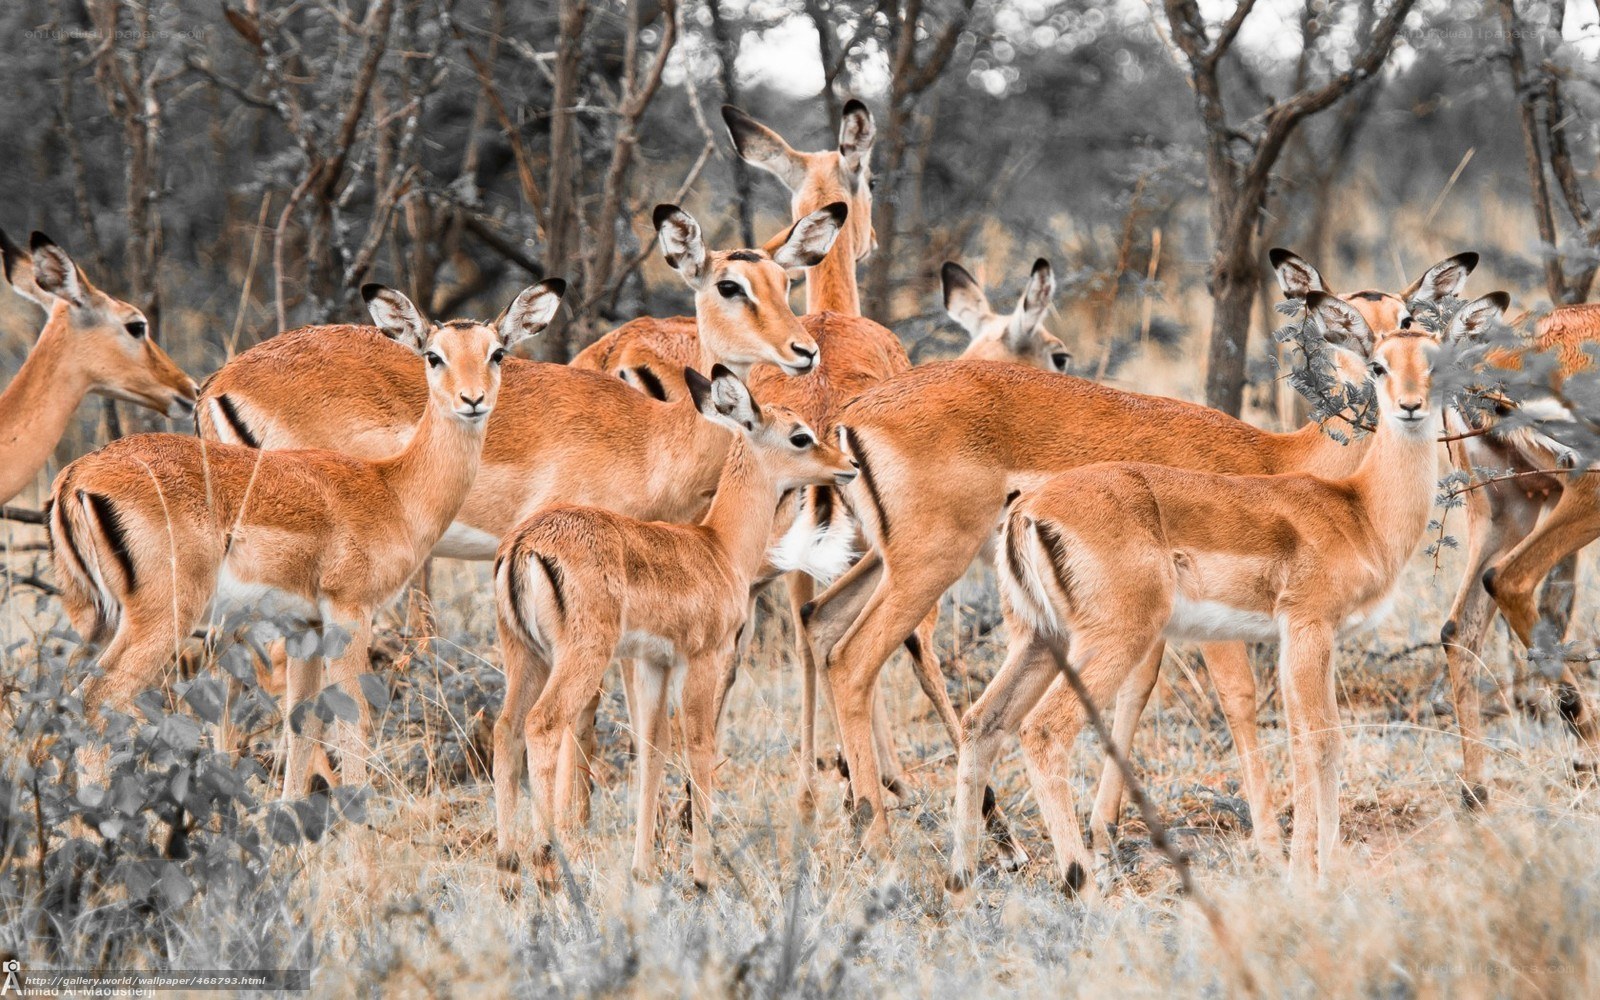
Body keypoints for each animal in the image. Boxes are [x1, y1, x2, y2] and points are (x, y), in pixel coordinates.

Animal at [50, 281, 563, 794]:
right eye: (434, 356)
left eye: (496, 352)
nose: (472, 400)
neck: (392, 489)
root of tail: (77, 476)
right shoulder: (349, 612)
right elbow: (352, 719)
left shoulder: (305, 627)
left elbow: (302, 722)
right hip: (163, 618)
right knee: (94, 702)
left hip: (98, 621)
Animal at [492, 366, 856, 889]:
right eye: (800, 436)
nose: (848, 464)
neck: (719, 545)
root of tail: (524, 542)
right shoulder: (702, 660)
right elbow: (700, 744)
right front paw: (703, 876)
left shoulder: (653, 664)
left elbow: (652, 748)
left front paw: (643, 869)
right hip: (580, 658)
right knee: (543, 724)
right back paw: (545, 863)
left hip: (525, 655)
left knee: (505, 731)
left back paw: (506, 869)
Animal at [800, 250, 1482, 852]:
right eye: (1339, 325)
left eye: (1407, 317)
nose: (1396, 396)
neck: (1279, 458)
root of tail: (854, 414)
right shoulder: (1224, 622)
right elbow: (1238, 703)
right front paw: (1267, 842)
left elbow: (1137, 693)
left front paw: (1104, 830)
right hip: (931, 564)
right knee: (856, 661)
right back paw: (882, 838)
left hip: (893, 564)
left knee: (822, 624)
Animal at [949, 290, 1505, 895]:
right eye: (1379, 365)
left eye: (1435, 360)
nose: (1410, 407)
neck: (1358, 510)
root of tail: (1029, 510)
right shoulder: (1309, 626)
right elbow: (1324, 741)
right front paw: (1320, 874)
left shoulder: (1299, 639)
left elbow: (1301, 740)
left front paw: (1299, 868)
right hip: (1111, 640)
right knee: (1045, 731)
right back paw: (1084, 887)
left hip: (1037, 639)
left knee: (981, 722)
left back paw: (962, 884)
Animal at [1440, 300, 1600, 803]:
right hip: (1582, 490)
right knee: (1508, 579)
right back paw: (1587, 746)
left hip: (1506, 512)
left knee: (1458, 628)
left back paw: (1476, 792)